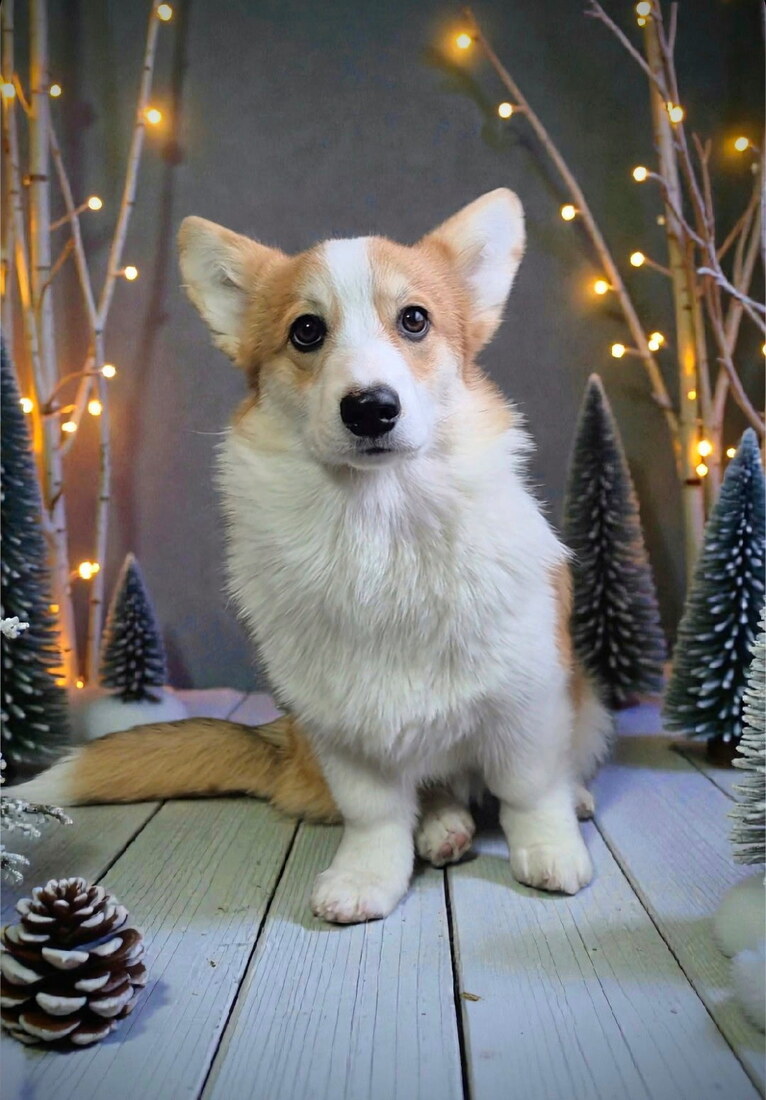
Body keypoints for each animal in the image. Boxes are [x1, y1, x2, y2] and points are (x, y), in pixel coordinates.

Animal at [13, 190, 612, 924]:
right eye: (305, 332)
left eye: (415, 320)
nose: (371, 409)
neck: (378, 523)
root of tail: (278, 745)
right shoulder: (343, 728)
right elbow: (376, 816)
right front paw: (367, 877)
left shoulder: (528, 702)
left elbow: (530, 792)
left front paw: (550, 851)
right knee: (433, 793)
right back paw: (443, 827)